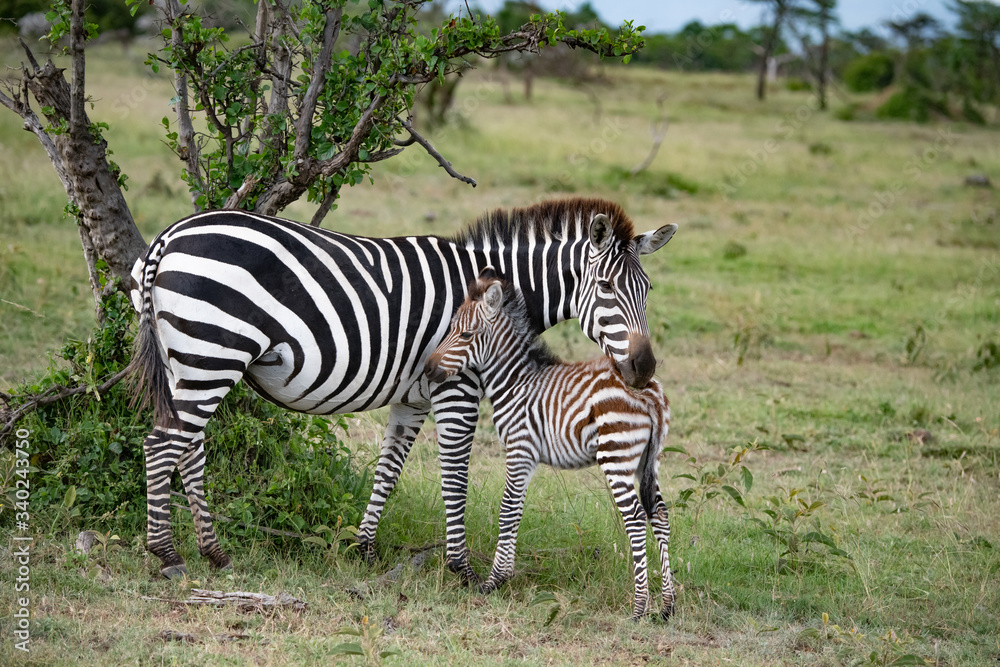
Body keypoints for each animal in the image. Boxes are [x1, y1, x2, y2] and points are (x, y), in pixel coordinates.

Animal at [128, 198, 677, 581]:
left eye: (648, 291)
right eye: (606, 289)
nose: (644, 369)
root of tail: (170, 235)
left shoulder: (412, 398)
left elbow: (388, 471)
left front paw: (365, 549)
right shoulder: (457, 387)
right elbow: (455, 475)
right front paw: (461, 569)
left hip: (190, 361)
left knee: (188, 447)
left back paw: (214, 552)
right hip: (212, 352)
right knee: (162, 445)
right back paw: (167, 553)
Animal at [424, 274, 676, 620]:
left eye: (464, 335)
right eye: (449, 331)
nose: (427, 368)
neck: (515, 381)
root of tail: (649, 394)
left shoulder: (520, 449)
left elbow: (507, 509)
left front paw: (494, 581)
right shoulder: (527, 457)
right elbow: (516, 510)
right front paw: (503, 576)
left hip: (616, 456)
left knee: (637, 518)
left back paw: (639, 607)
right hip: (647, 461)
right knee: (660, 515)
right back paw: (667, 606)